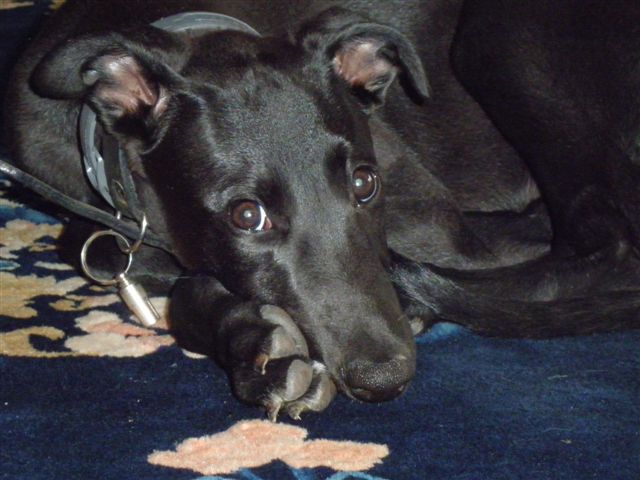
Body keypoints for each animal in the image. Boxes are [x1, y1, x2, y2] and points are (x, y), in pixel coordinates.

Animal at [3, 0, 639, 419]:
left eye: (365, 183)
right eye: (246, 216)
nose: (385, 380)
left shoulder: (433, 223)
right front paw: (255, 344)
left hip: (496, 37)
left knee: (608, 246)